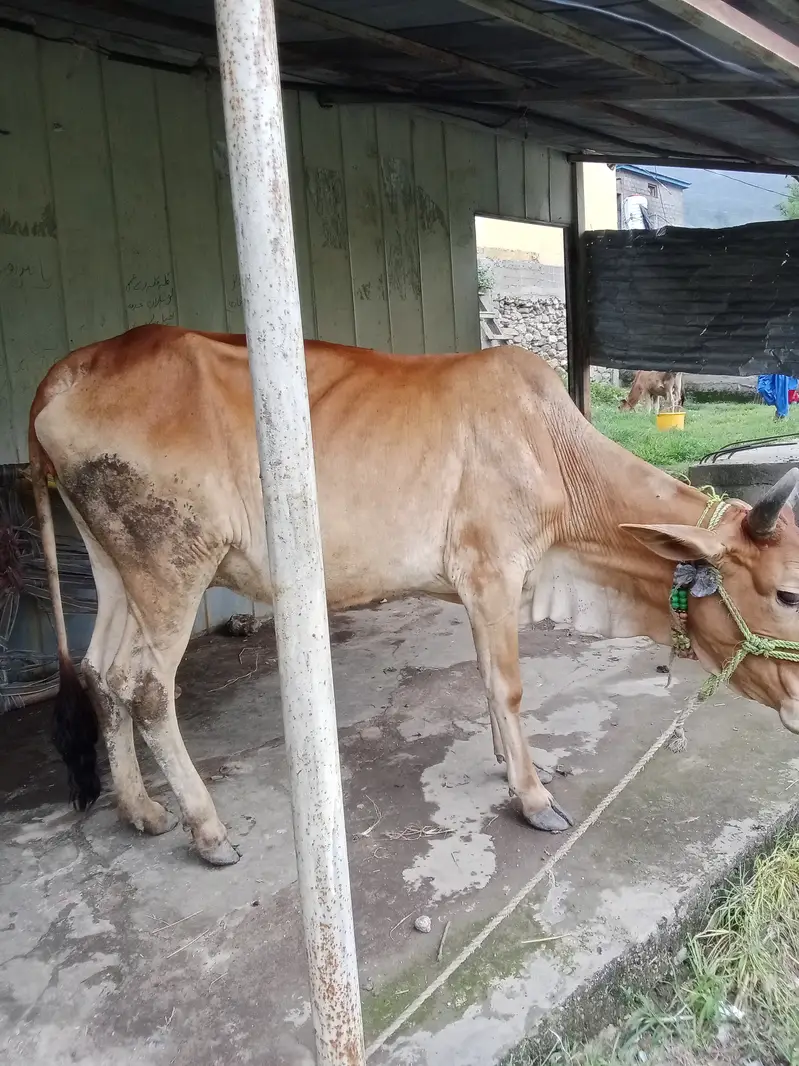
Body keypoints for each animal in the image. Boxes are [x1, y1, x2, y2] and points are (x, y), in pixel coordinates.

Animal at [30, 326, 799, 866]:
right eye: (787, 593)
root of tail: (73, 367)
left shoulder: (481, 589)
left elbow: (487, 685)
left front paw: (509, 764)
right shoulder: (491, 571)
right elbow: (509, 686)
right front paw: (533, 797)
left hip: (116, 567)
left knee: (102, 673)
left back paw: (138, 809)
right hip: (173, 564)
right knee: (147, 688)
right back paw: (208, 830)